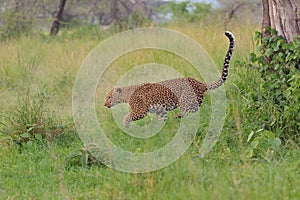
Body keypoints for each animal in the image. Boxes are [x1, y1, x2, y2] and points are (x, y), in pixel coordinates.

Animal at [104, 31, 236, 126]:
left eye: (109, 97)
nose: (105, 104)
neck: (126, 94)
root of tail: (200, 83)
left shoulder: (140, 111)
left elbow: (127, 117)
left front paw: (125, 125)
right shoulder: (161, 111)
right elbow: (160, 121)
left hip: (186, 101)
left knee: (189, 115)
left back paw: (179, 119)